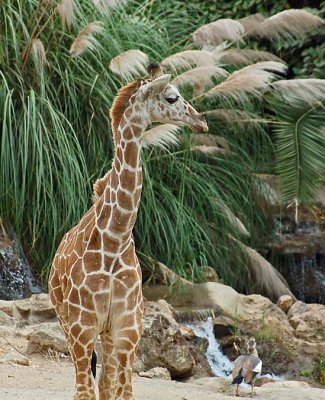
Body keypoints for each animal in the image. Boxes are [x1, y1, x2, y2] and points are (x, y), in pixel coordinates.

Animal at [48, 64, 208, 398]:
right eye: (172, 97)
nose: (201, 120)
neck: (115, 237)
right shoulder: (82, 329)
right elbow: (86, 391)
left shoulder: (127, 331)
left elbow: (120, 392)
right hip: (67, 325)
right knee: (88, 385)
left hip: (107, 335)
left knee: (107, 384)